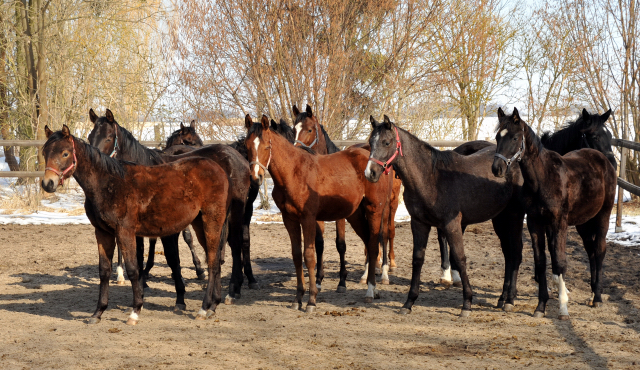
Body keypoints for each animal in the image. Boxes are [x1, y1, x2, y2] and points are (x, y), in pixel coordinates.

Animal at [40, 125, 230, 324]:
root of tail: (219, 169)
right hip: (200, 223)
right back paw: (213, 305)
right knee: (215, 260)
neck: (109, 183)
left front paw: (135, 311)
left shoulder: (125, 232)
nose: (48, 183)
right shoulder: (103, 233)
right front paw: (98, 313)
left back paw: (204, 308)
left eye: (65, 153)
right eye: (45, 152)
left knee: (212, 262)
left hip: (211, 220)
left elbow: (133, 269)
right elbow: (104, 271)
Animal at [246, 115, 392, 310]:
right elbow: (296, 256)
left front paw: (311, 300)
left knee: (375, 245)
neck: (294, 172)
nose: (256, 178)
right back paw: (373, 290)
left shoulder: (308, 218)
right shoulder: (289, 219)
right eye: (247, 146)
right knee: (368, 242)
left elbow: (309, 256)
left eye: (266, 146)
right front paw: (297, 299)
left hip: (374, 210)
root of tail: (375, 166)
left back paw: (370, 290)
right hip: (355, 215)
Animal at [288, 105, 400, 284]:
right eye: (294, 130)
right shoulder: (317, 215)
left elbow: (340, 244)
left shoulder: (341, 216)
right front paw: (319, 277)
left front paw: (342, 279)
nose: (297, 152)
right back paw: (369, 270)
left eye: (310, 129)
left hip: (388, 204)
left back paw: (384, 271)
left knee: (385, 233)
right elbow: (319, 243)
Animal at [364, 115, 524, 316]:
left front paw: (467, 303)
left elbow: (460, 258)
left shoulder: (451, 224)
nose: (370, 173)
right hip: (499, 218)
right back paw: (502, 298)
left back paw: (510, 300)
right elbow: (417, 259)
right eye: (370, 142)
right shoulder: (419, 223)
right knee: (508, 254)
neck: (431, 177)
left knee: (515, 253)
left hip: (514, 216)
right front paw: (409, 302)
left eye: (386, 142)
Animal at [492, 106, 616, 318]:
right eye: (497, 137)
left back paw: (598, 298)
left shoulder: (559, 223)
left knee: (599, 250)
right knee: (591, 251)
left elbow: (559, 261)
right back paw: (592, 294)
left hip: (603, 216)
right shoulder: (535, 222)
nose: (497, 168)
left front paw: (563, 305)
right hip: (583, 222)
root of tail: (602, 161)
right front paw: (541, 306)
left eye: (515, 138)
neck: (542, 178)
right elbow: (541, 261)